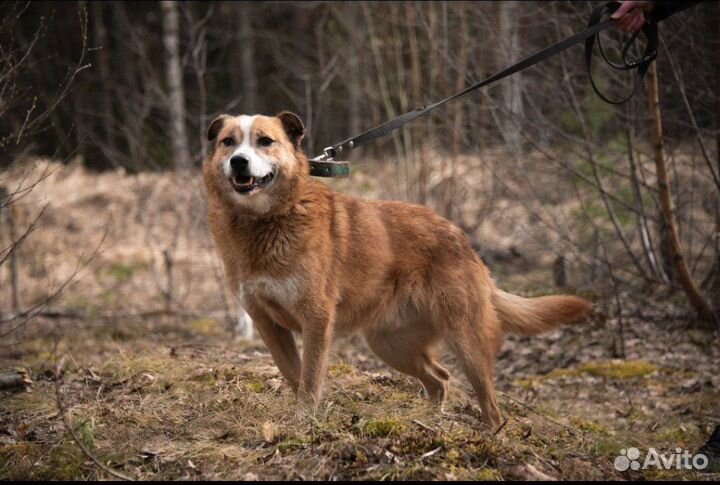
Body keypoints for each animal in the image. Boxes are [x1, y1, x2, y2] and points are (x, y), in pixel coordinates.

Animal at [202, 110, 592, 428]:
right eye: (228, 142)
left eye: (265, 141)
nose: (238, 162)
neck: (266, 221)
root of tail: (461, 238)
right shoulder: (266, 321)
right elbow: (292, 372)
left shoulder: (316, 318)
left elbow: (310, 378)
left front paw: (305, 419)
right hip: (390, 345)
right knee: (440, 378)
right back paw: (431, 420)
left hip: (466, 340)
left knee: (488, 401)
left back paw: (490, 434)